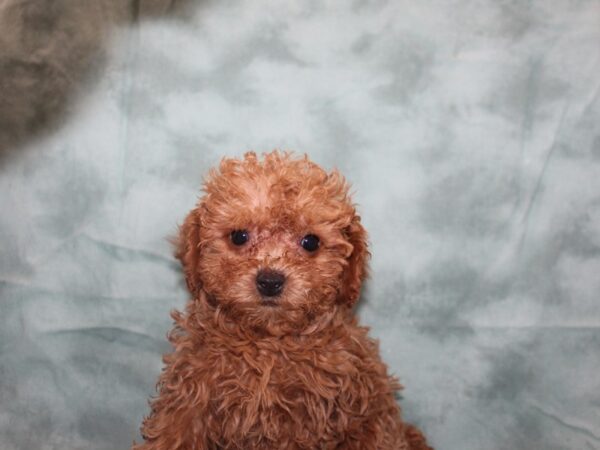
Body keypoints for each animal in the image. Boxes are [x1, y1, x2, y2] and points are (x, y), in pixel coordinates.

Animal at [134, 152, 432, 450]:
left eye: (310, 242)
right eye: (239, 236)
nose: (270, 281)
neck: (267, 344)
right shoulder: (192, 393)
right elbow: (174, 432)